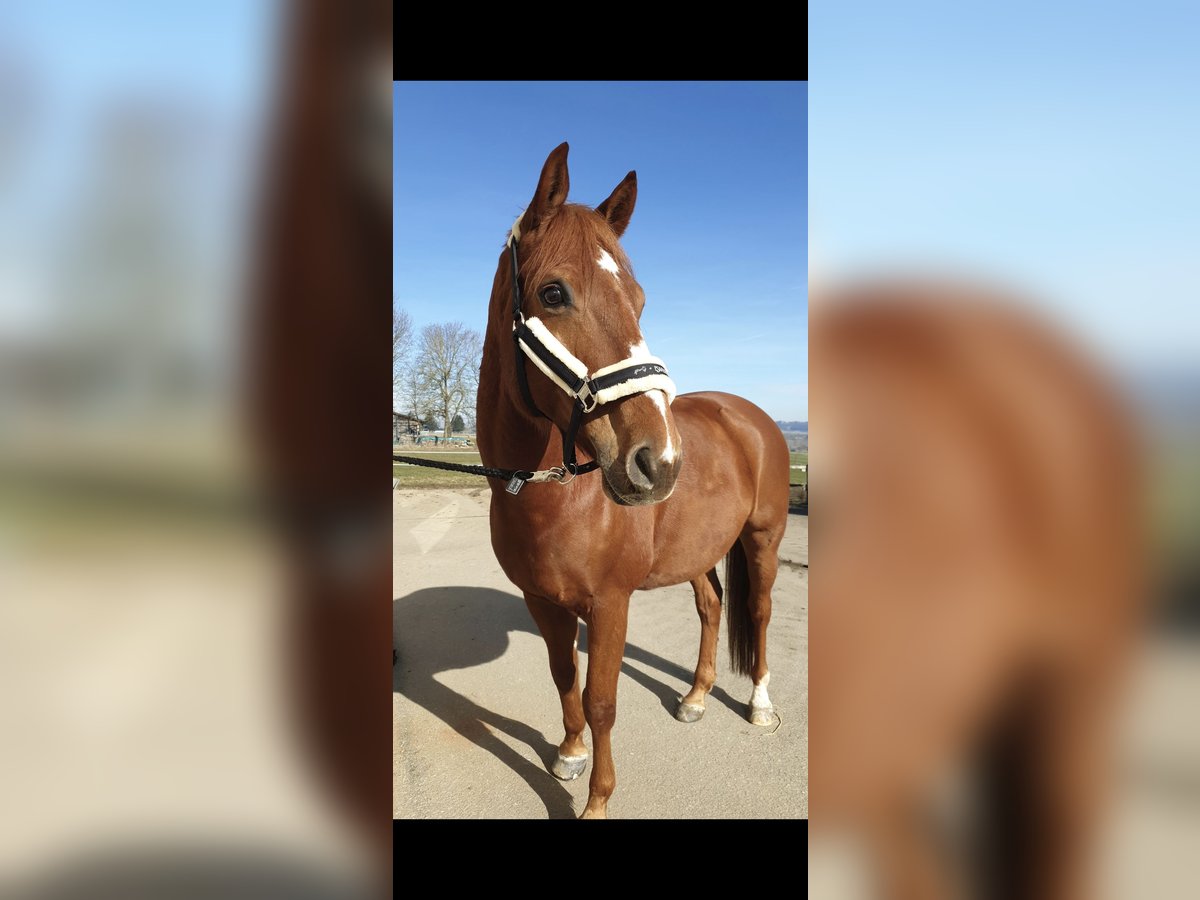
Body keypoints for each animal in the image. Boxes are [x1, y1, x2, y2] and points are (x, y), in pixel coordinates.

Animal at [475, 143, 791, 819]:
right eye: (553, 292)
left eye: (640, 301)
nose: (659, 462)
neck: (554, 494)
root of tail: (751, 416)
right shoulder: (541, 600)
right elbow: (563, 676)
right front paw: (569, 753)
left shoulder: (610, 604)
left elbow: (602, 701)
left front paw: (596, 801)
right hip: (700, 550)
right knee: (711, 606)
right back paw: (696, 697)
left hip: (762, 539)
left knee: (757, 610)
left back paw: (758, 704)